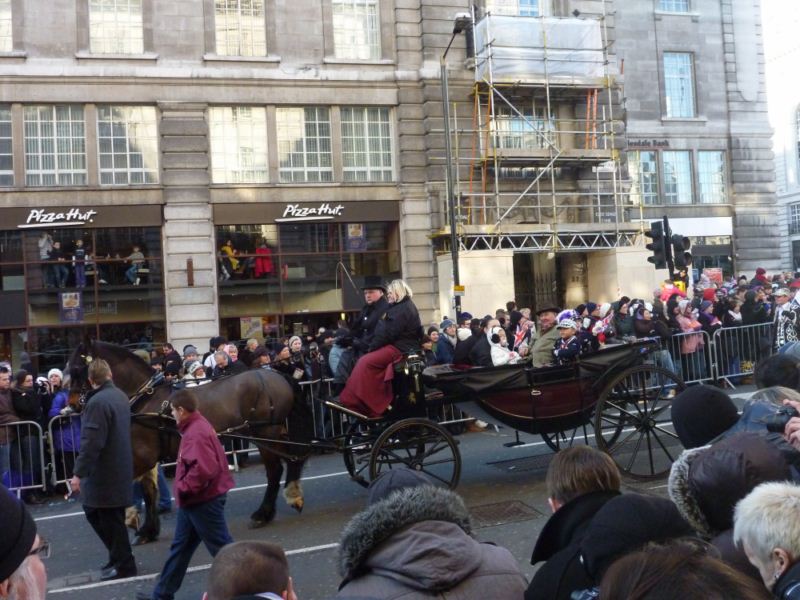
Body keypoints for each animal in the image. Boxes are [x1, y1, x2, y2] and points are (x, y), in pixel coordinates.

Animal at [67, 340, 310, 540]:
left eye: (77, 369)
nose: (72, 406)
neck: (145, 398)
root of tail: (277, 375)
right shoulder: (146, 456)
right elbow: (149, 490)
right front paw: (149, 529)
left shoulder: (142, 455)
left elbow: (138, 488)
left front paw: (132, 518)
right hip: (277, 432)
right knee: (294, 459)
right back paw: (293, 495)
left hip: (265, 433)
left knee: (275, 470)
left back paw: (263, 513)